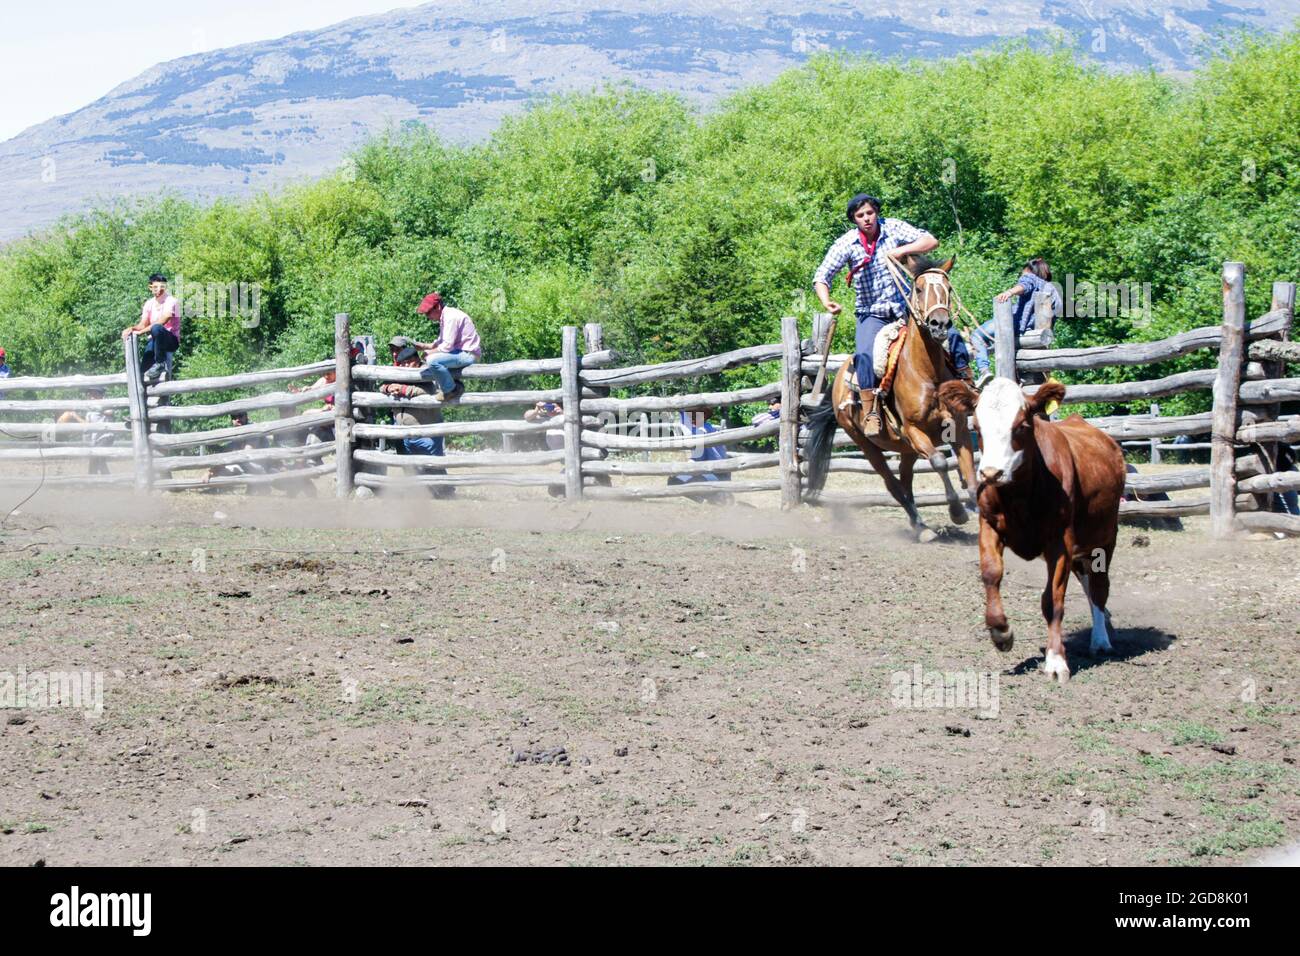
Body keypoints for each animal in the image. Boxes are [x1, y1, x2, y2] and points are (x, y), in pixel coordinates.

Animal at [803, 254, 979, 541]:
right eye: (919, 289)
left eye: (948, 289)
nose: (939, 324)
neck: (927, 372)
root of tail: (839, 379)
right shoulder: (915, 430)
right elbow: (940, 462)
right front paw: (957, 511)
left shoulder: (959, 427)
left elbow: (971, 472)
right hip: (866, 443)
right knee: (893, 484)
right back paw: (922, 528)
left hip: (906, 449)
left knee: (905, 482)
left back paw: (919, 525)